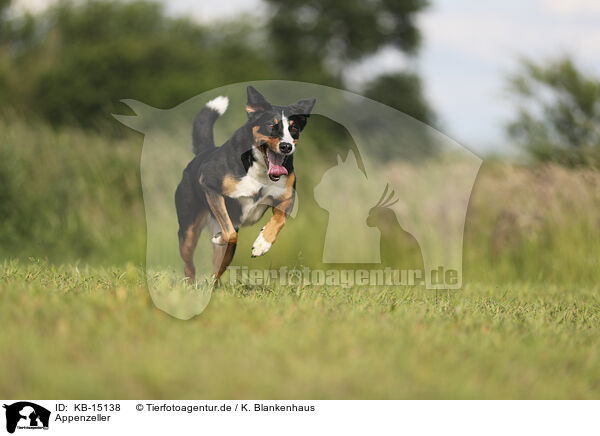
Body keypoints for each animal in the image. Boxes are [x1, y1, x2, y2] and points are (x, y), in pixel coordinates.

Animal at [176, 86, 316, 282]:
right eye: (271, 125)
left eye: (293, 128)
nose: (286, 146)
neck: (260, 171)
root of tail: (204, 153)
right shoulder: (210, 185)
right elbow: (230, 234)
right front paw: (219, 237)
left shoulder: (287, 198)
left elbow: (278, 220)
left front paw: (262, 244)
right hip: (188, 229)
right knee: (189, 265)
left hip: (225, 252)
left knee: (215, 272)